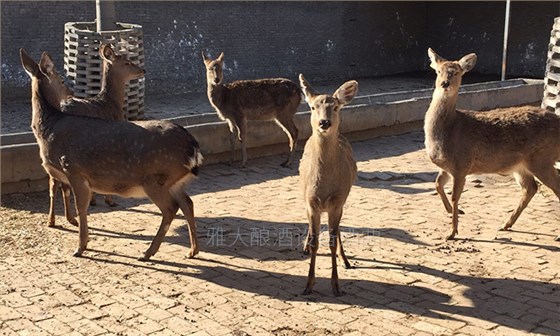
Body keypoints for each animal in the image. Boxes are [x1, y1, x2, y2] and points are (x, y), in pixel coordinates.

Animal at [20, 48, 203, 262]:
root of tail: (193, 147)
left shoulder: (74, 169)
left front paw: (81, 247)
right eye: (62, 80)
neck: (50, 129)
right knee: (187, 203)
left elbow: (81, 208)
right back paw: (192, 251)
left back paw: (147, 253)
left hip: (156, 178)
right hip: (174, 181)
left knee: (171, 208)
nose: (70, 93)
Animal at [298, 74, 358, 296]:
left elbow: (332, 241)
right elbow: (316, 242)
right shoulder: (311, 202)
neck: (323, 186)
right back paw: (305, 246)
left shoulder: (337, 202)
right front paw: (308, 284)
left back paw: (346, 260)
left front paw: (336, 285)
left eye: (336, 107)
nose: (324, 122)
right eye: (313, 107)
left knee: (338, 229)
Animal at [424, 48, 560, 242]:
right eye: (438, 70)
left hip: (542, 158)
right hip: (521, 165)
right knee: (530, 188)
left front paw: (452, 232)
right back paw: (506, 224)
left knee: (554, 186)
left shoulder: (461, 163)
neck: (450, 129)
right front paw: (454, 212)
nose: (445, 83)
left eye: (456, 72)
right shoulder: (447, 166)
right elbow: (437, 185)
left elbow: (455, 196)